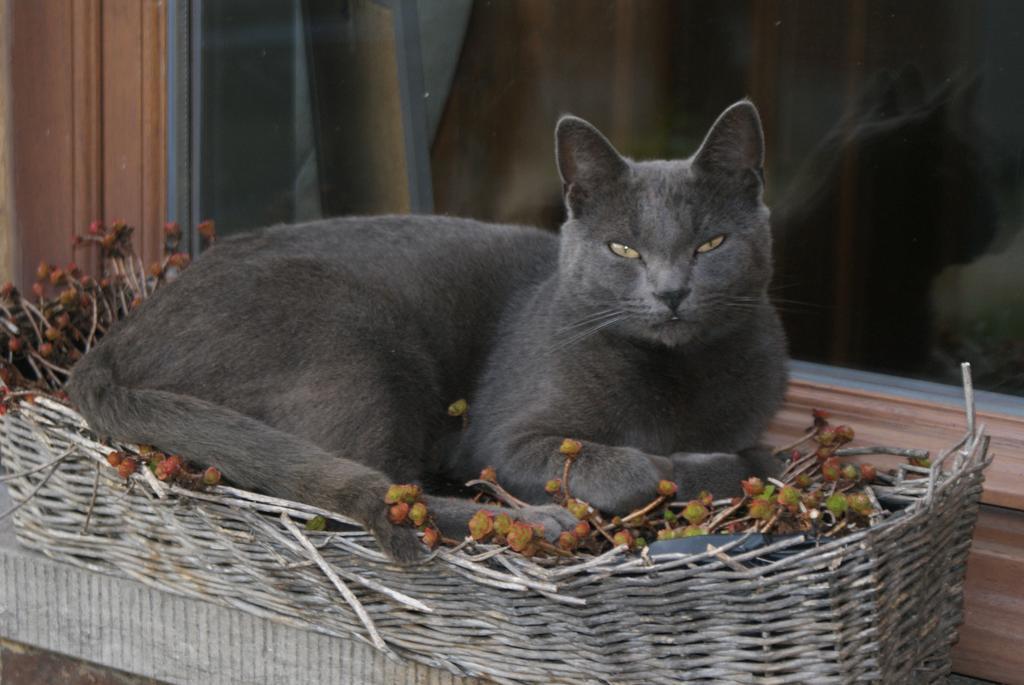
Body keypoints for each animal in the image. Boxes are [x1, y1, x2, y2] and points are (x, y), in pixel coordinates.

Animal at [68, 101, 786, 561]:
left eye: (710, 243)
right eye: (624, 249)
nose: (670, 292)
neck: (674, 374)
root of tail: (113, 342)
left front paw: (728, 461)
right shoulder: (502, 439)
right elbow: (632, 464)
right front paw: (691, 465)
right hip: (358, 343)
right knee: (388, 492)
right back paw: (542, 521)